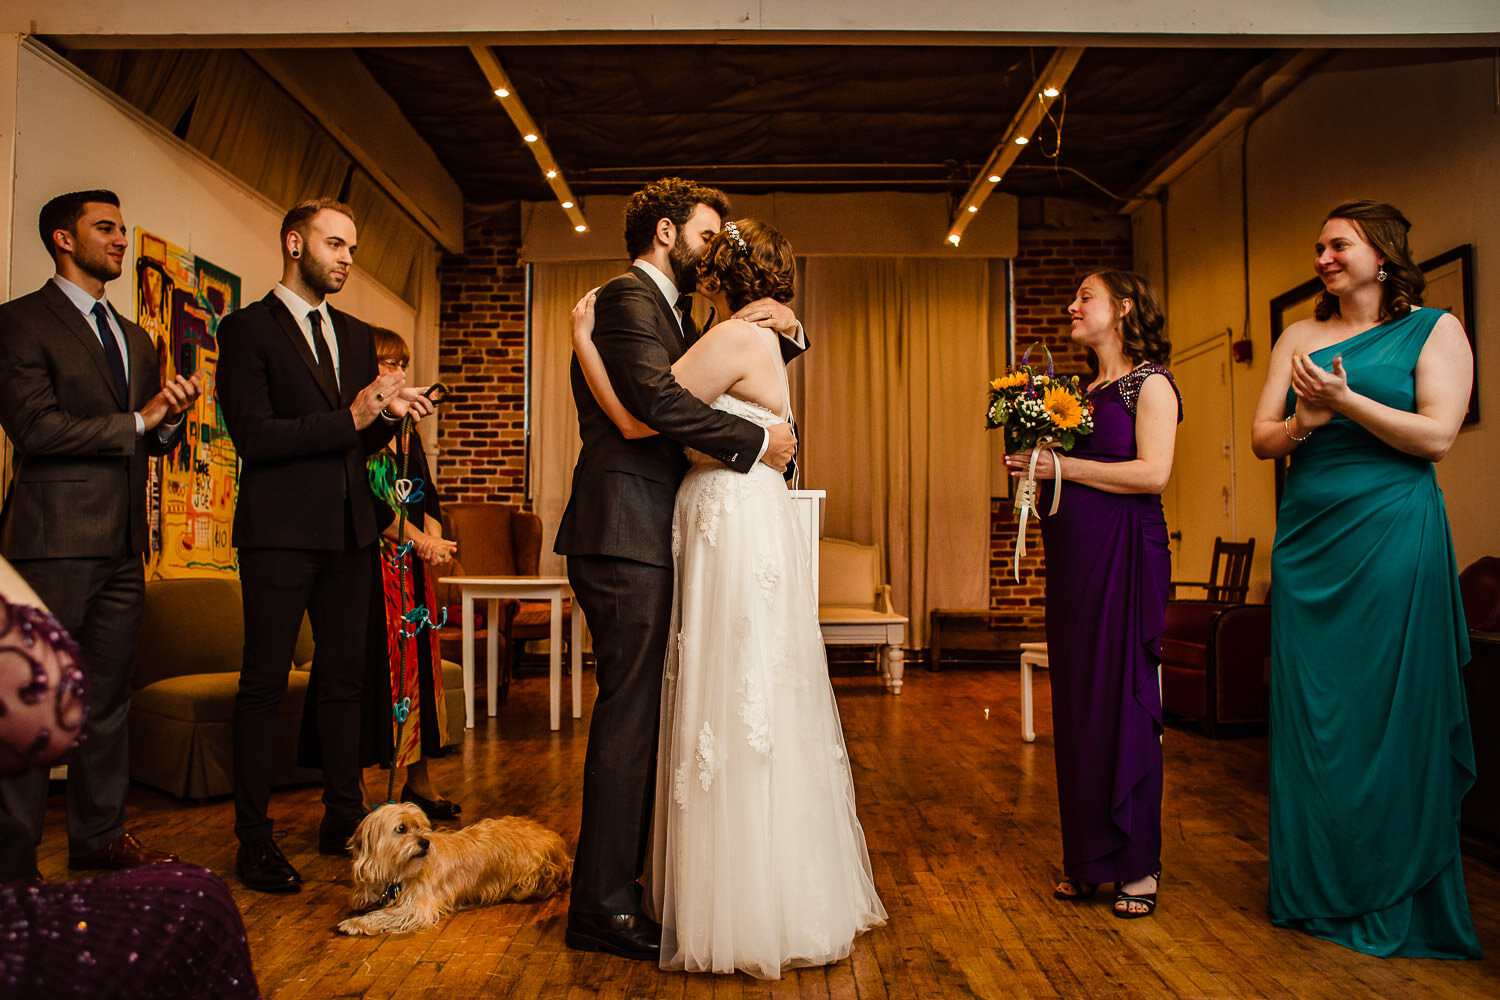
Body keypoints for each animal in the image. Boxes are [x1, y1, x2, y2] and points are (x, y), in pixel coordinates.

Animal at [337, 803, 570, 935]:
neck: (400, 871)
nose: (425, 843)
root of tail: (557, 844)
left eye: (419, 826)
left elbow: (383, 914)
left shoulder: (417, 909)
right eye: (401, 828)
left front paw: (354, 923)